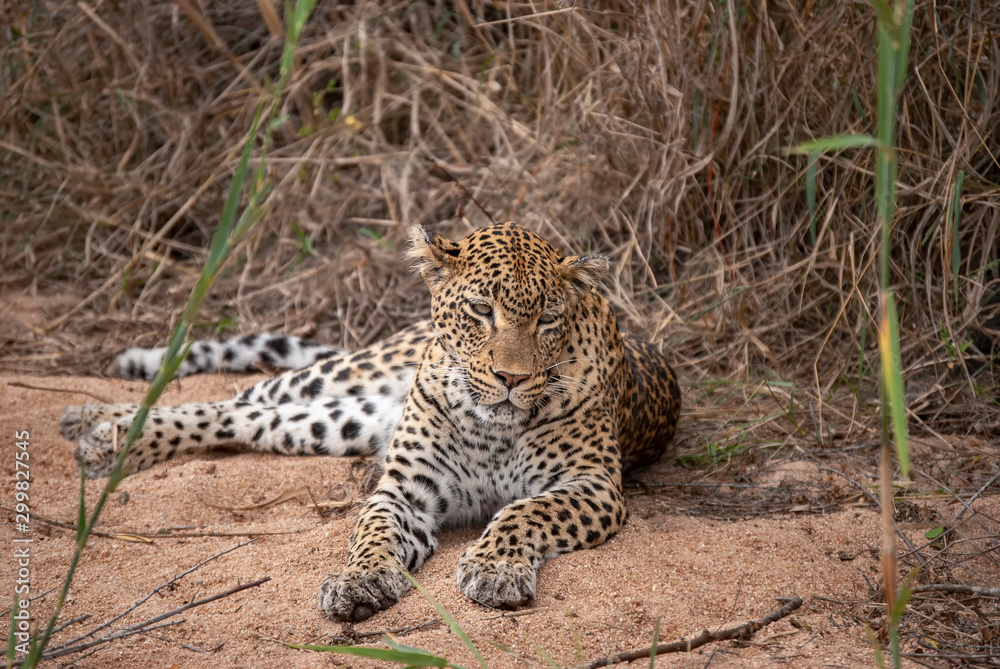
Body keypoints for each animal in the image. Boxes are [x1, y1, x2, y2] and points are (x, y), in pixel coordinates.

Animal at [60, 222, 681, 621]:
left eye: (549, 319)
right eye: (482, 310)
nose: (511, 377)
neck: (491, 426)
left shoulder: (593, 486)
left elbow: (524, 511)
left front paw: (496, 568)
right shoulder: (405, 489)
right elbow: (374, 532)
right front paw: (359, 580)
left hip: (333, 423)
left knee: (247, 416)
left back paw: (104, 439)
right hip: (341, 376)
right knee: (240, 396)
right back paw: (95, 423)